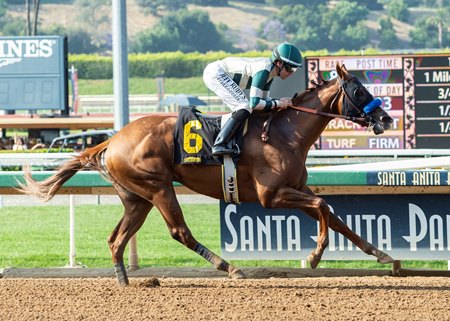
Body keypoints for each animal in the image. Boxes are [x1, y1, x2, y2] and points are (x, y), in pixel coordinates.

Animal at [20, 62, 394, 284]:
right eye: (359, 91)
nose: (387, 119)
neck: (286, 132)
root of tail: (112, 139)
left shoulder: (296, 190)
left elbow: (334, 216)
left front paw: (383, 255)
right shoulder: (271, 196)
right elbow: (322, 208)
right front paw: (315, 256)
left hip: (136, 198)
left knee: (116, 239)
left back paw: (125, 281)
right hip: (158, 188)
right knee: (179, 231)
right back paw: (230, 267)